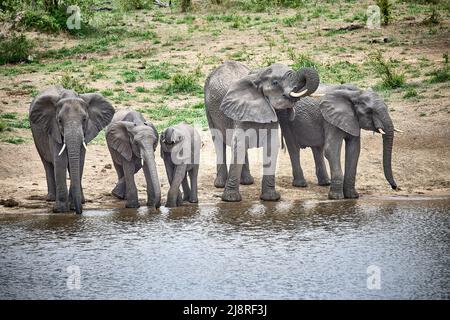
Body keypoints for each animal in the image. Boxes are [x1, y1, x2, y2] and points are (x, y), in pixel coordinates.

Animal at [29, 86, 114, 214]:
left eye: (84, 119)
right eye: (59, 120)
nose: (79, 212)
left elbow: (79, 162)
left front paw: (73, 206)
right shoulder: (53, 130)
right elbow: (60, 162)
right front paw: (60, 210)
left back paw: (81, 201)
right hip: (36, 137)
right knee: (47, 163)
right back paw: (51, 198)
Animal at [204, 60, 320, 201]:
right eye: (275, 82)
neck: (258, 76)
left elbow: (271, 147)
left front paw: (271, 198)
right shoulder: (240, 113)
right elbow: (239, 145)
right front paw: (230, 199)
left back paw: (247, 182)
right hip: (208, 108)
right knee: (218, 141)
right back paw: (220, 184)